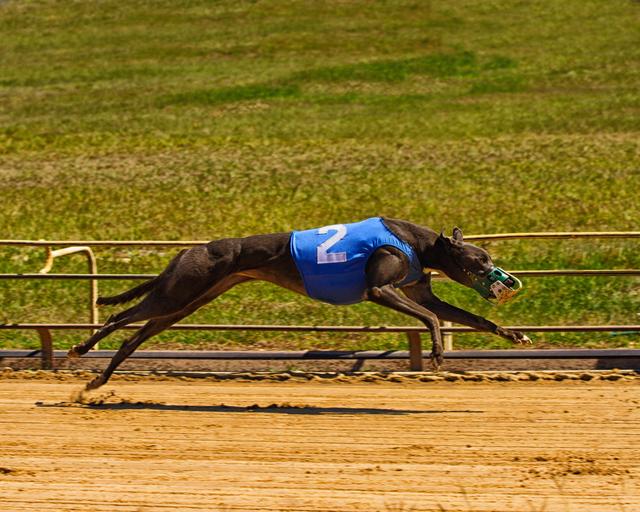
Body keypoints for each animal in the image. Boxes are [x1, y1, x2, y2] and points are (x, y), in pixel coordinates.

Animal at [69, 218, 528, 390]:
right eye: (481, 260)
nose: (507, 281)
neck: (417, 243)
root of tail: (190, 250)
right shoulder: (381, 289)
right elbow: (431, 316)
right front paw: (435, 353)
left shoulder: (417, 290)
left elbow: (470, 317)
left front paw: (514, 334)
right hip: (180, 289)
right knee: (121, 315)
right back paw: (80, 349)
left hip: (187, 302)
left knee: (137, 335)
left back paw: (99, 381)